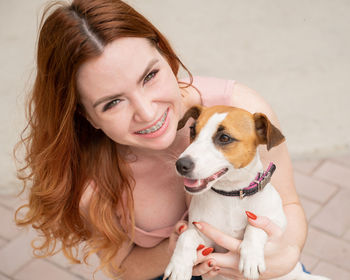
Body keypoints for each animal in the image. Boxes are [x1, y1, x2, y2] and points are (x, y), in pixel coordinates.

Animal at [164, 105, 328, 280]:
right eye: (192, 130)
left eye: (224, 138)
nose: (181, 164)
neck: (232, 195)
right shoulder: (206, 239)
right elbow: (186, 236)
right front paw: (179, 266)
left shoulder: (277, 223)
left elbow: (255, 227)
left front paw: (251, 258)